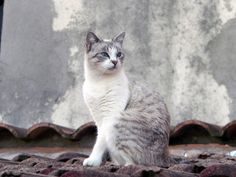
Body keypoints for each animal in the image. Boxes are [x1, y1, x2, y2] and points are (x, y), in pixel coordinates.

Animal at [82, 32, 170, 167]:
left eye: (119, 54)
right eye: (105, 54)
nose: (114, 61)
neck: (99, 81)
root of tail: (164, 158)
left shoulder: (108, 117)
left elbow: (99, 143)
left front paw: (93, 161)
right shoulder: (98, 119)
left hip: (116, 121)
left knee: (133, 163)